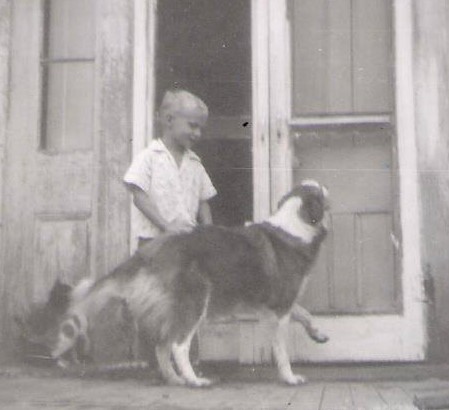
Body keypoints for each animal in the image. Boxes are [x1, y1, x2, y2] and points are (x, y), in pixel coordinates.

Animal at [47, 179, 329, 386]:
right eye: (321, 194)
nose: (326, 186)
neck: (295, 225)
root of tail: (154, 249)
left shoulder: (280, 303)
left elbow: (305, 313)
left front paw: (318, 333)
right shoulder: (280, 307)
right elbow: (282, 349)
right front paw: (289, 377)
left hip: (172, 309)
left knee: (162, 345)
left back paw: (174, 378)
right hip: (195, 301)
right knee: (178, 345)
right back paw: (194, 380)